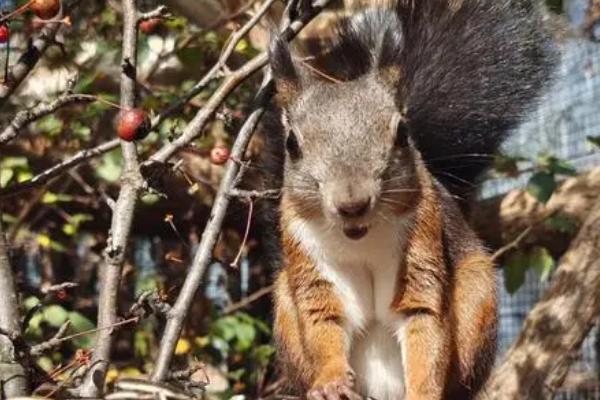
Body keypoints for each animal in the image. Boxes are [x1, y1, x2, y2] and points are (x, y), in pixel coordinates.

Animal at [264, 1, 556, 398]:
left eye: (403, 132)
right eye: (292, 144)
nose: (352, 203)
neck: (362, 237)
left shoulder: (422, 244)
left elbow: (424, 322)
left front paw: (424, 391)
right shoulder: (309, 257)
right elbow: (322, 319)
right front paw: (330, 381)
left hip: (477, 292)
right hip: (284, 303)